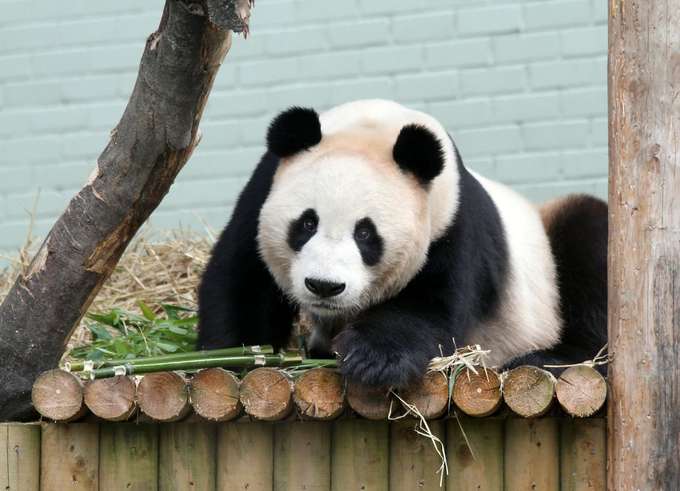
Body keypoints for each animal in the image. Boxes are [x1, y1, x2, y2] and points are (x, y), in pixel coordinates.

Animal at [197, 99, 607, 388]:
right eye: (307, 223)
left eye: (366, 234)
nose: (324, 286)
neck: (375, 127)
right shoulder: (262, 190)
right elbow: (242, 280)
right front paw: (239, 355)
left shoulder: (450, 221)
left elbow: (431, 306)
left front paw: (372, 360)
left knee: (590, 246)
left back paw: (546, 359)